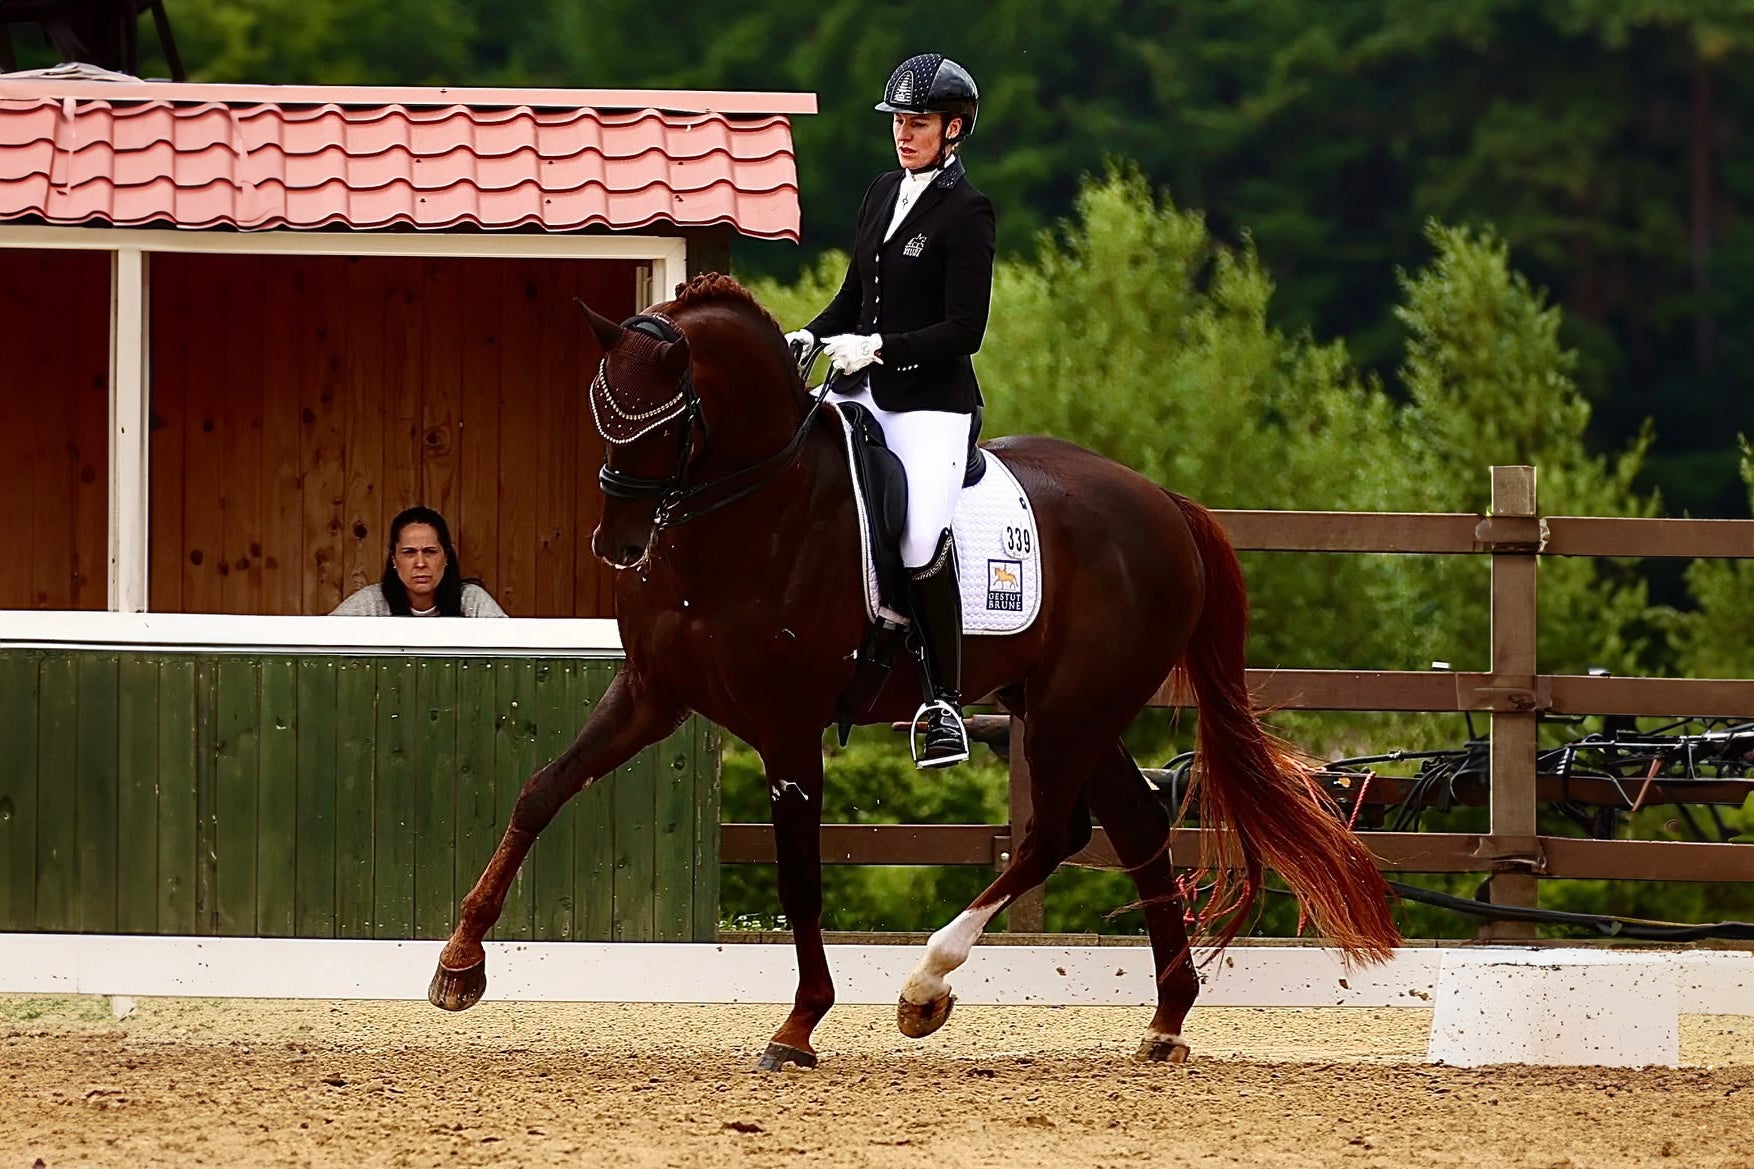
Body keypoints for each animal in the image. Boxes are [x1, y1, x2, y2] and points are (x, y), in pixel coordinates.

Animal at [427, 272, 1401, 1069]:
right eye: (603, 408)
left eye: (670, 420)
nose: (619, 544)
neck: (750, 514)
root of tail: (1164, 500)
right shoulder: (651, 695)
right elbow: (542, 789)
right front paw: (460, 963)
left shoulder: (787, 727)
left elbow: (798, 875)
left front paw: (799, 1025)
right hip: (1071, 708)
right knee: (1132, 822)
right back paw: (1166, 1019)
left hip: (1072, 710)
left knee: (1056, 832)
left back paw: (927, 982)